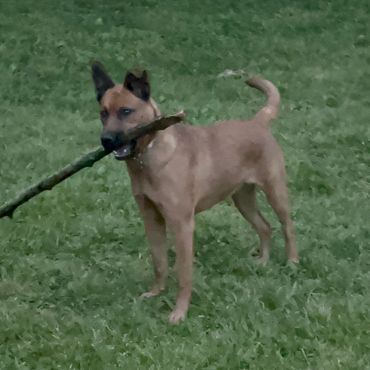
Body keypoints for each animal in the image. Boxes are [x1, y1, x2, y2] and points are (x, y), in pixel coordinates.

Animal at [92, 63, 298, 324]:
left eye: (126, 111)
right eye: (103, 113)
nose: (106, 140)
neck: (150, 156)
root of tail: (258, 122)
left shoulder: (182, 224)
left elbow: (183, 274)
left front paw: (179, 312)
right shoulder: (151, 219)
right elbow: (159, 262)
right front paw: (156, 292)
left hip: (275, 190)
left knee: (287, 226)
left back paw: (292, 263)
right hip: (242, 198)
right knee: (265, 226)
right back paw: (262, 262)